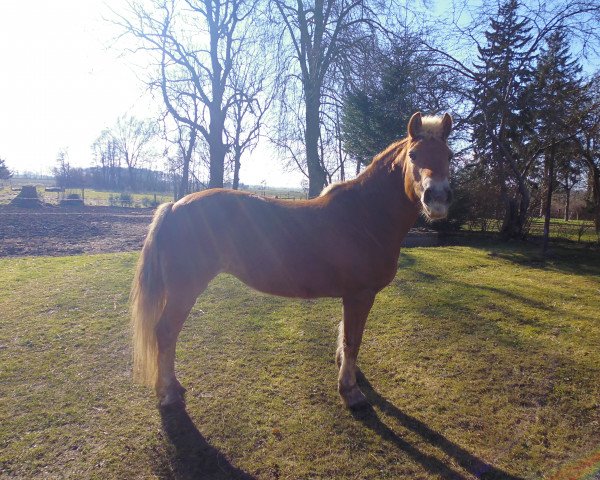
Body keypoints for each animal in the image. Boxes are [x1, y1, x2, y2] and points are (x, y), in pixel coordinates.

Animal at [129, 112, 452, 408]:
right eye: (413, 155)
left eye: (449, 155)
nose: (437, 198)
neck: (364, 216)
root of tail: (174, 206)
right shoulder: (360, 295)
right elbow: (353, 340)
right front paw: (350, 391)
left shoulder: (352, 296)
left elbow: (345, 336)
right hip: (184, 290)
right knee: (165, 332)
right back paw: (168, 392)